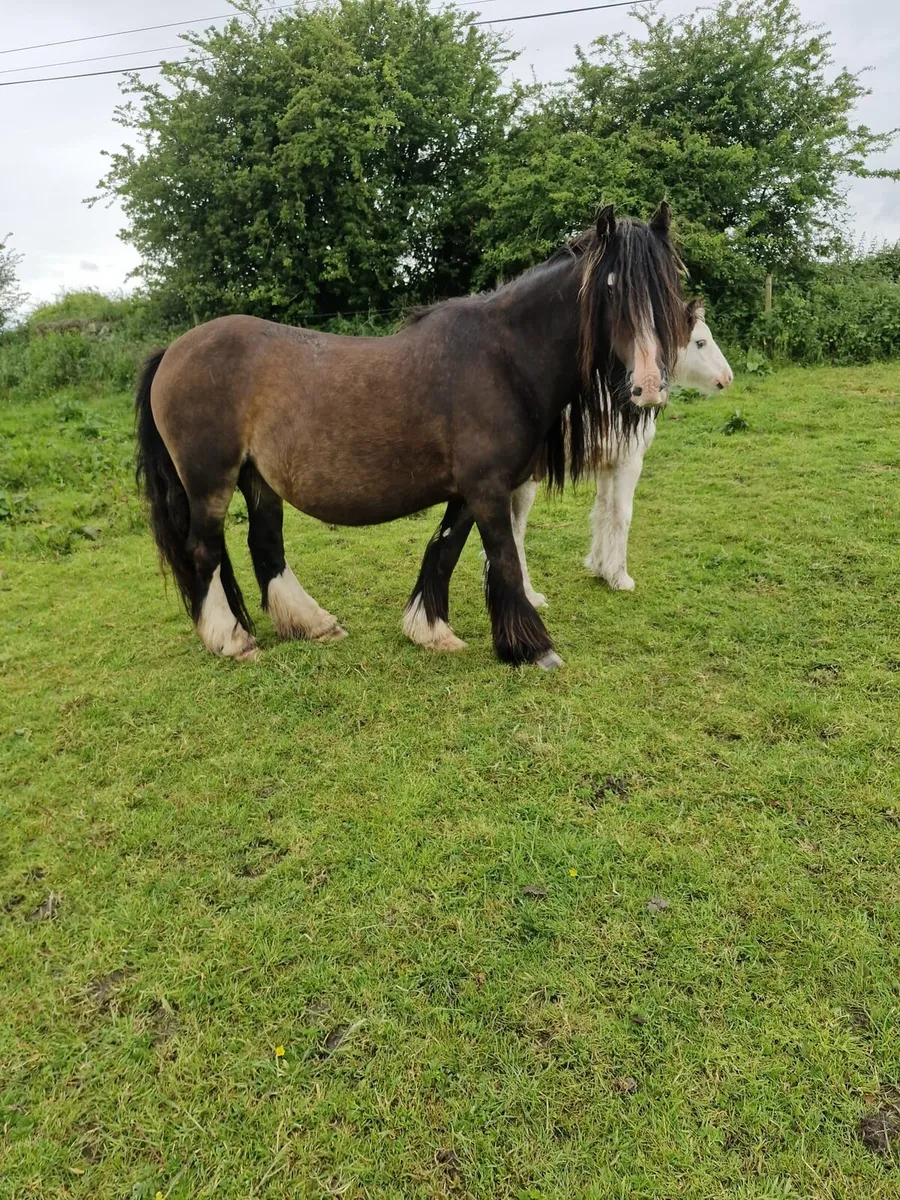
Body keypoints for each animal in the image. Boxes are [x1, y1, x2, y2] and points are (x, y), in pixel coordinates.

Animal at [135, 203, 692, 670]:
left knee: (265, 544)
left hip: (259, 478)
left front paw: (430, 630)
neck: (503, 359)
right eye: (611, 288)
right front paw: (534, 648)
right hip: (210, 480)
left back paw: (312, 624)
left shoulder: (470, 490)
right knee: (204, 551)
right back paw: (232, 640)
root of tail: (171, 351)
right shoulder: (487, 488)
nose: (648, 386)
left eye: (667, 288)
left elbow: (443, 549)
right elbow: (504, 559)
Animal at [509, 306, 733, 606]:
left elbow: (603, 510)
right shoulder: (630, 462)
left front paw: (601, 568)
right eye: (700, 342)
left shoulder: (606, 465)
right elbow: (623, 514)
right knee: (515, 531)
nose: (727, 377)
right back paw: (531, 596)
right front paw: (621, 578)